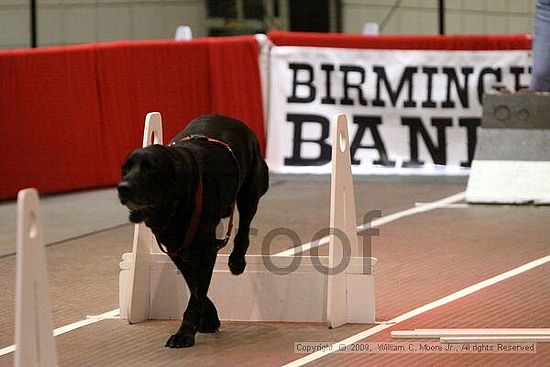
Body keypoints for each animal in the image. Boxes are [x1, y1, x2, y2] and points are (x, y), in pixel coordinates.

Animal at [118, 114, 270, 348]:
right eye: (125, 168)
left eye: (150, 168)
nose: (123, 187)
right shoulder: (176, 248)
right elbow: (194, 285)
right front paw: (209, 318)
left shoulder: (205, 248)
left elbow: (198, 291)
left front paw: (184, 333)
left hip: (250, 191)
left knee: (243, 229)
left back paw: (237, 261)